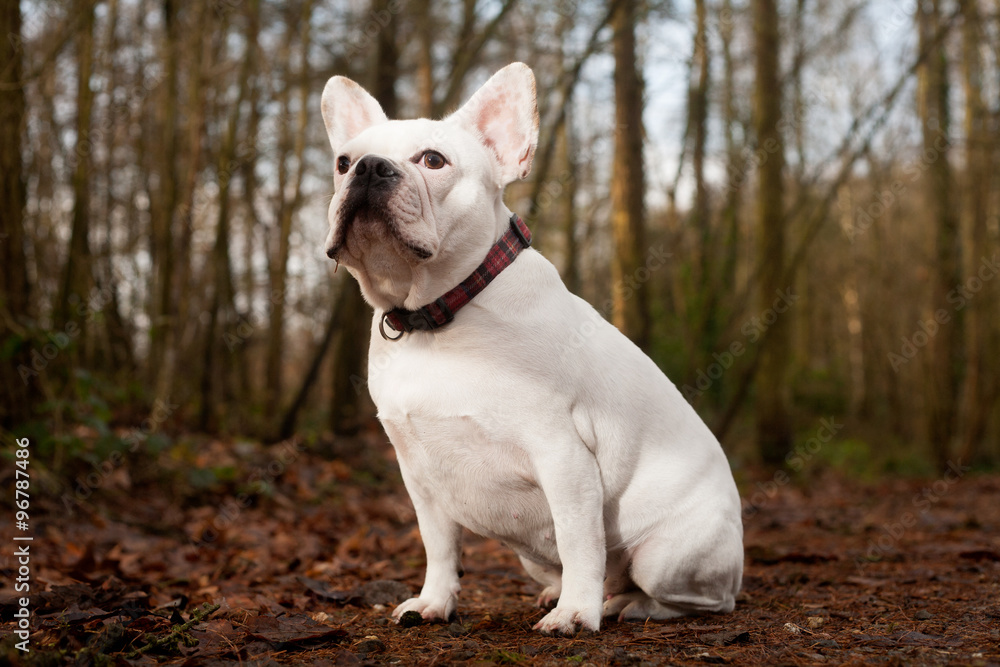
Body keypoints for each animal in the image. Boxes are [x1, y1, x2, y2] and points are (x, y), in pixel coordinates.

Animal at [320, 61, 744, 632]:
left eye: (433, 160)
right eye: (342, 162)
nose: (368, 168)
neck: (436, 315)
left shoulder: (562, 456)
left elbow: (579, 538)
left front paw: (577, 615)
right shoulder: (421, 476)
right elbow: (439, 546)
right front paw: (433, 601)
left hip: (669, 557)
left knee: (694, 598)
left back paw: (622, 604)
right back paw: (563, 593)